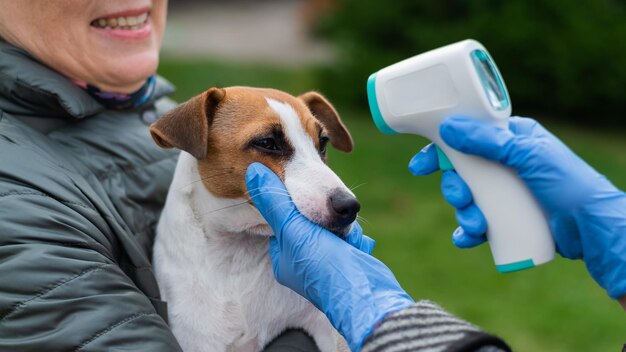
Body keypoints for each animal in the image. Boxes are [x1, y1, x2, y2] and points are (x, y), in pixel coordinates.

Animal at [148, 87, 358, 352]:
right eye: (267, 142)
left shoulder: (325, 325)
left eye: (323, 142)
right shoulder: (199, 340)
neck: (240, 251)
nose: (349, 206)